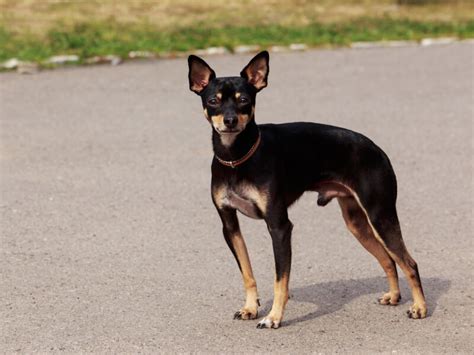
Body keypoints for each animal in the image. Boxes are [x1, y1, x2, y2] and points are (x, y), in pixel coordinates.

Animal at [187, 51, 428, 330]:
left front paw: (273, 317)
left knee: (409, 262)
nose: (230, 121)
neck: (237, 159)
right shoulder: (229, 225)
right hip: (356, 222)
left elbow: (280, 280)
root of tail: (378, 150)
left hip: (380, 216)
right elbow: (247, 273)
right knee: (388, 260)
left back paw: (420, 307)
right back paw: (394, 295)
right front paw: (250, 308)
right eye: (213, 100)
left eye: (244, 100)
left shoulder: (279, 227)